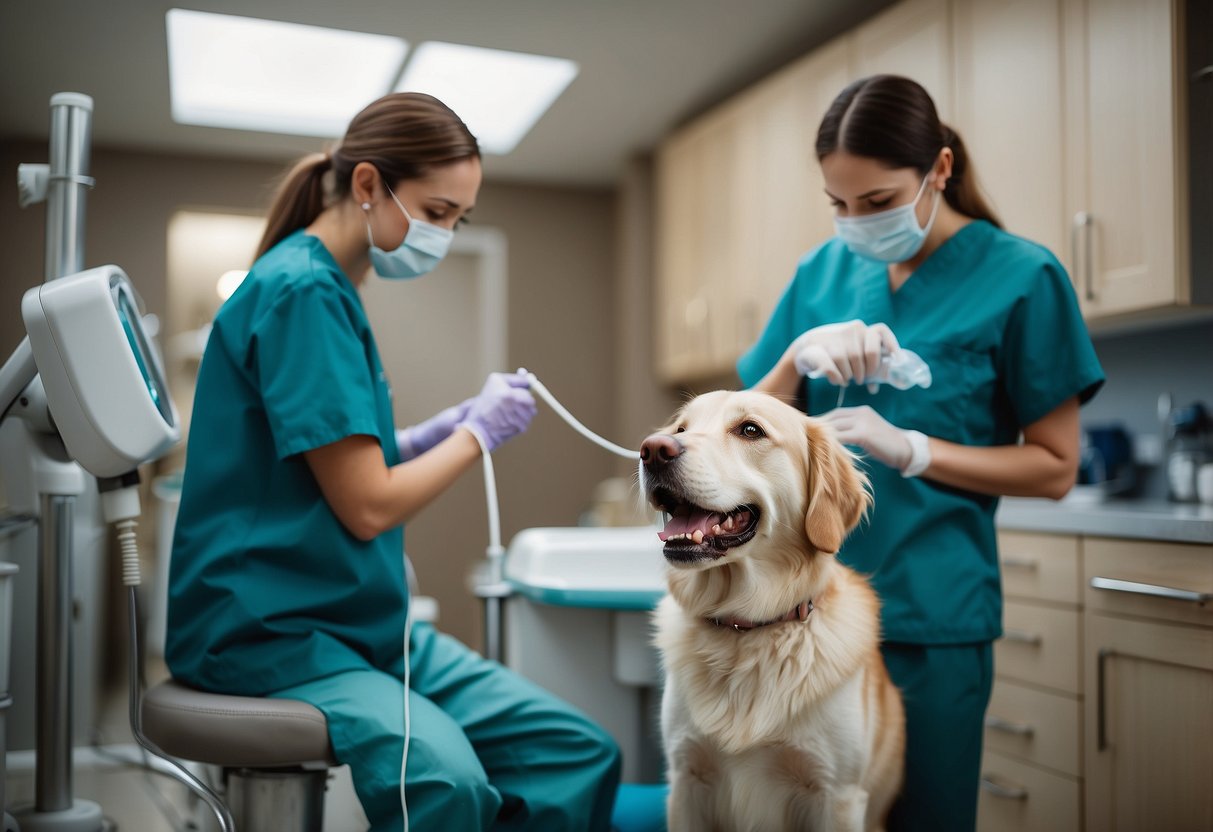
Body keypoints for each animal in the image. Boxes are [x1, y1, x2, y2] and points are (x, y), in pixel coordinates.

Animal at [640, 392, 907, 832]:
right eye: (680, 429)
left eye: (751, 430)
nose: (652, 450)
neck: (745, 629)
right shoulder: (687, 778)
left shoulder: (837, 795)